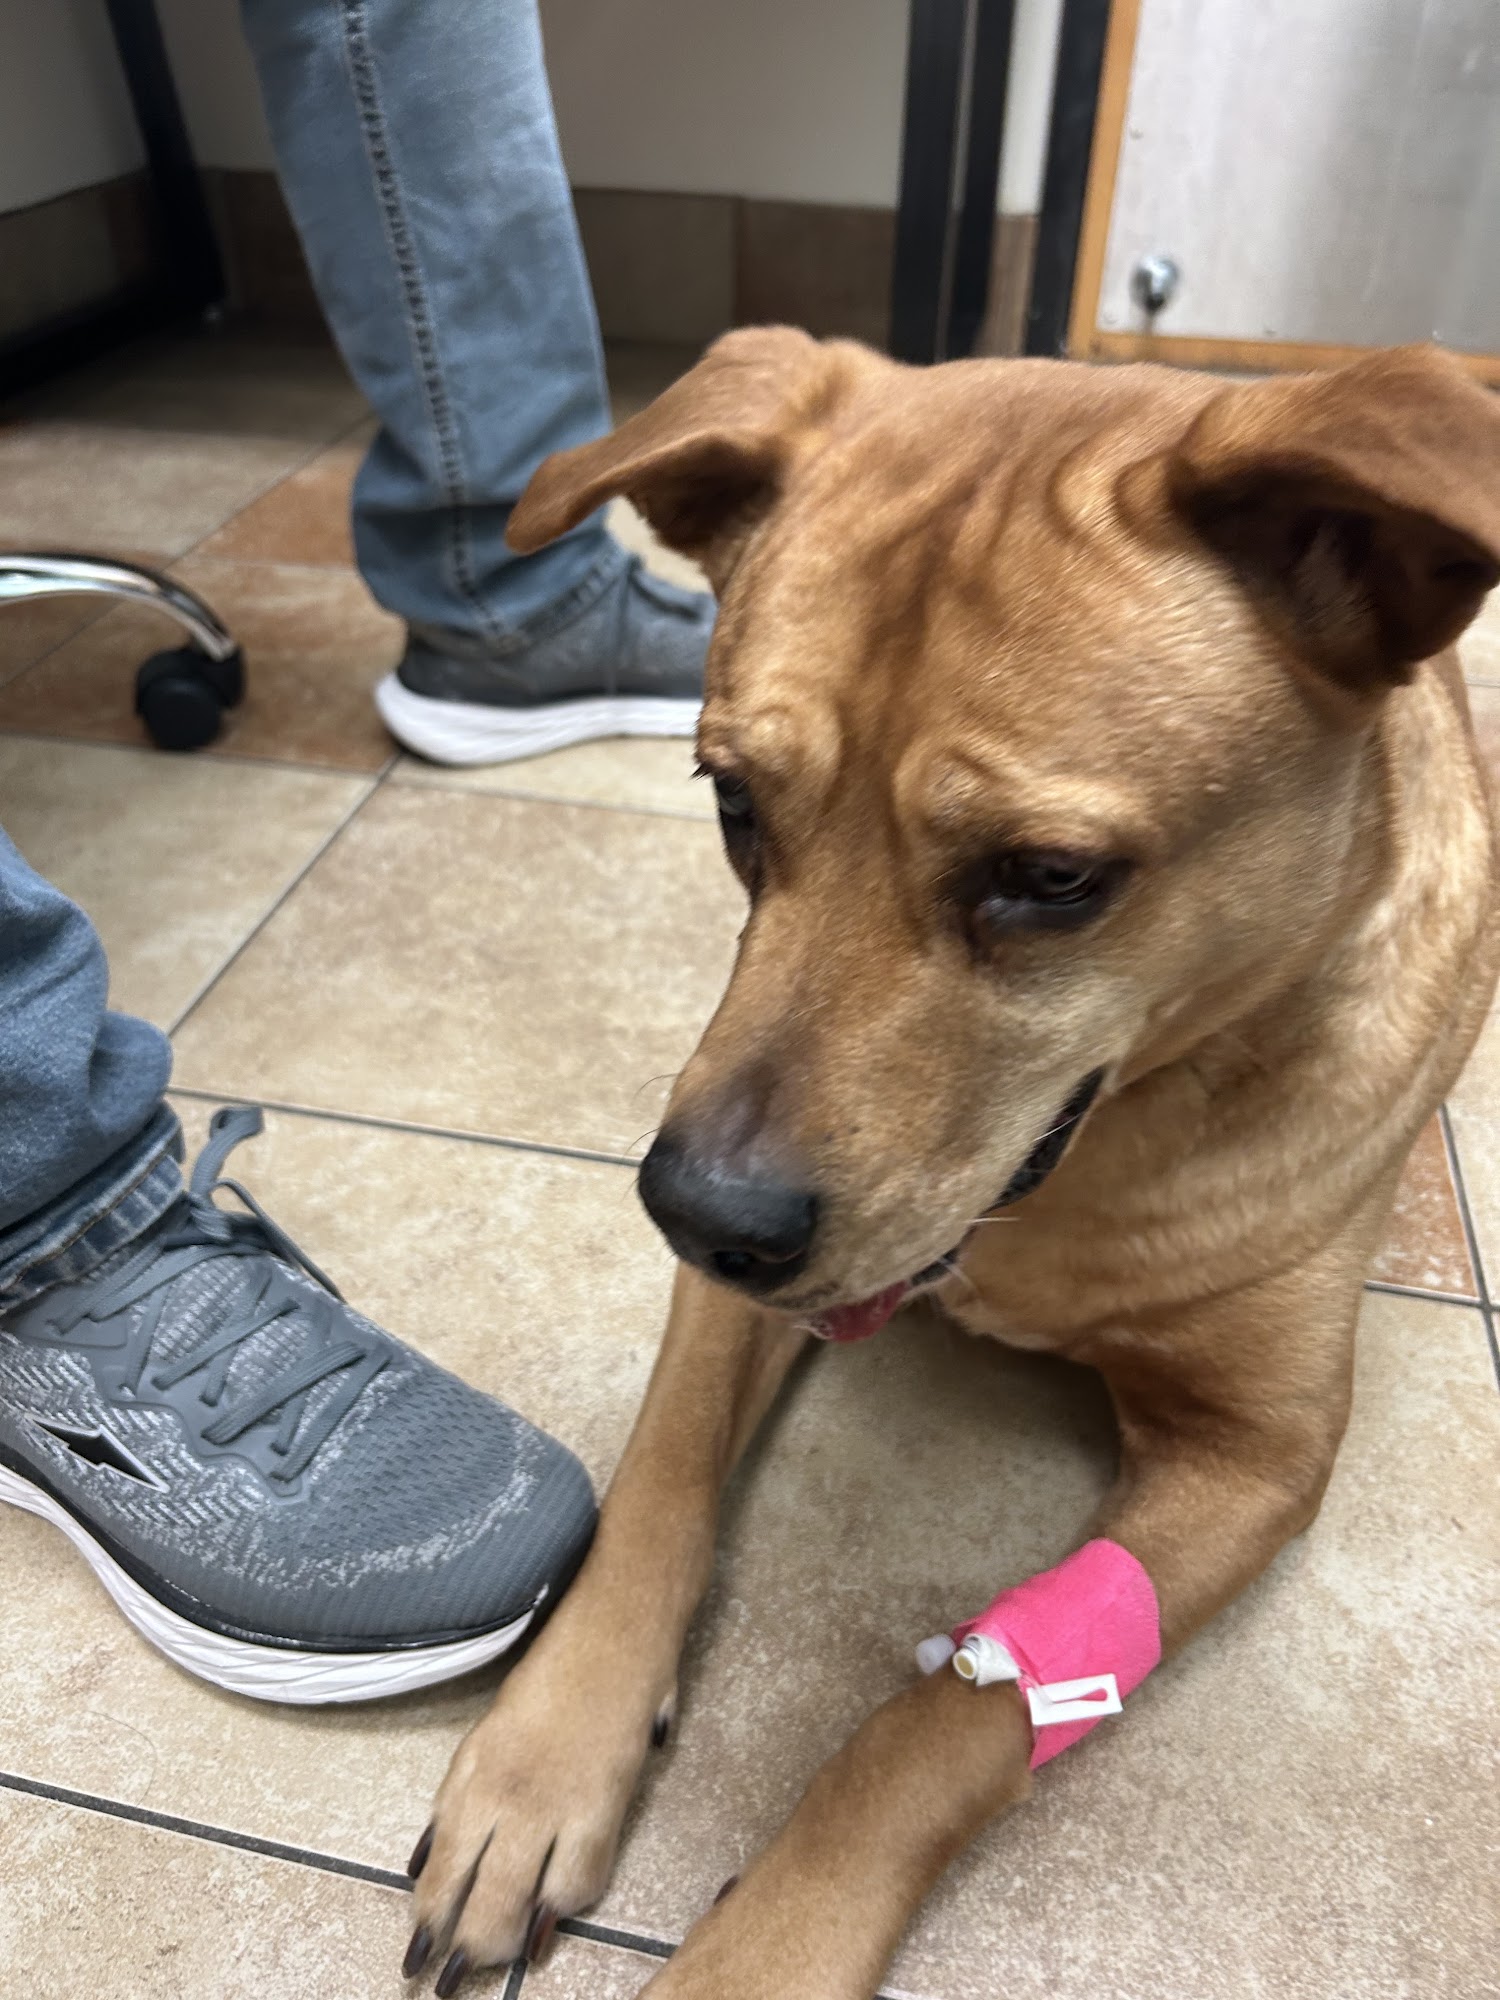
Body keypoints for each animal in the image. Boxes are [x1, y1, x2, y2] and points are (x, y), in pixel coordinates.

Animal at [402, 332, 1500, 1998]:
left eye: (1050, 878)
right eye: (733, 804)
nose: (696, 1216)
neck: (1082, 1172)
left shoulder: (1255, 1454)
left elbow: (948, 1720)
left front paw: (760, 1951)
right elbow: (661, 1473)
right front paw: (541, 1762)